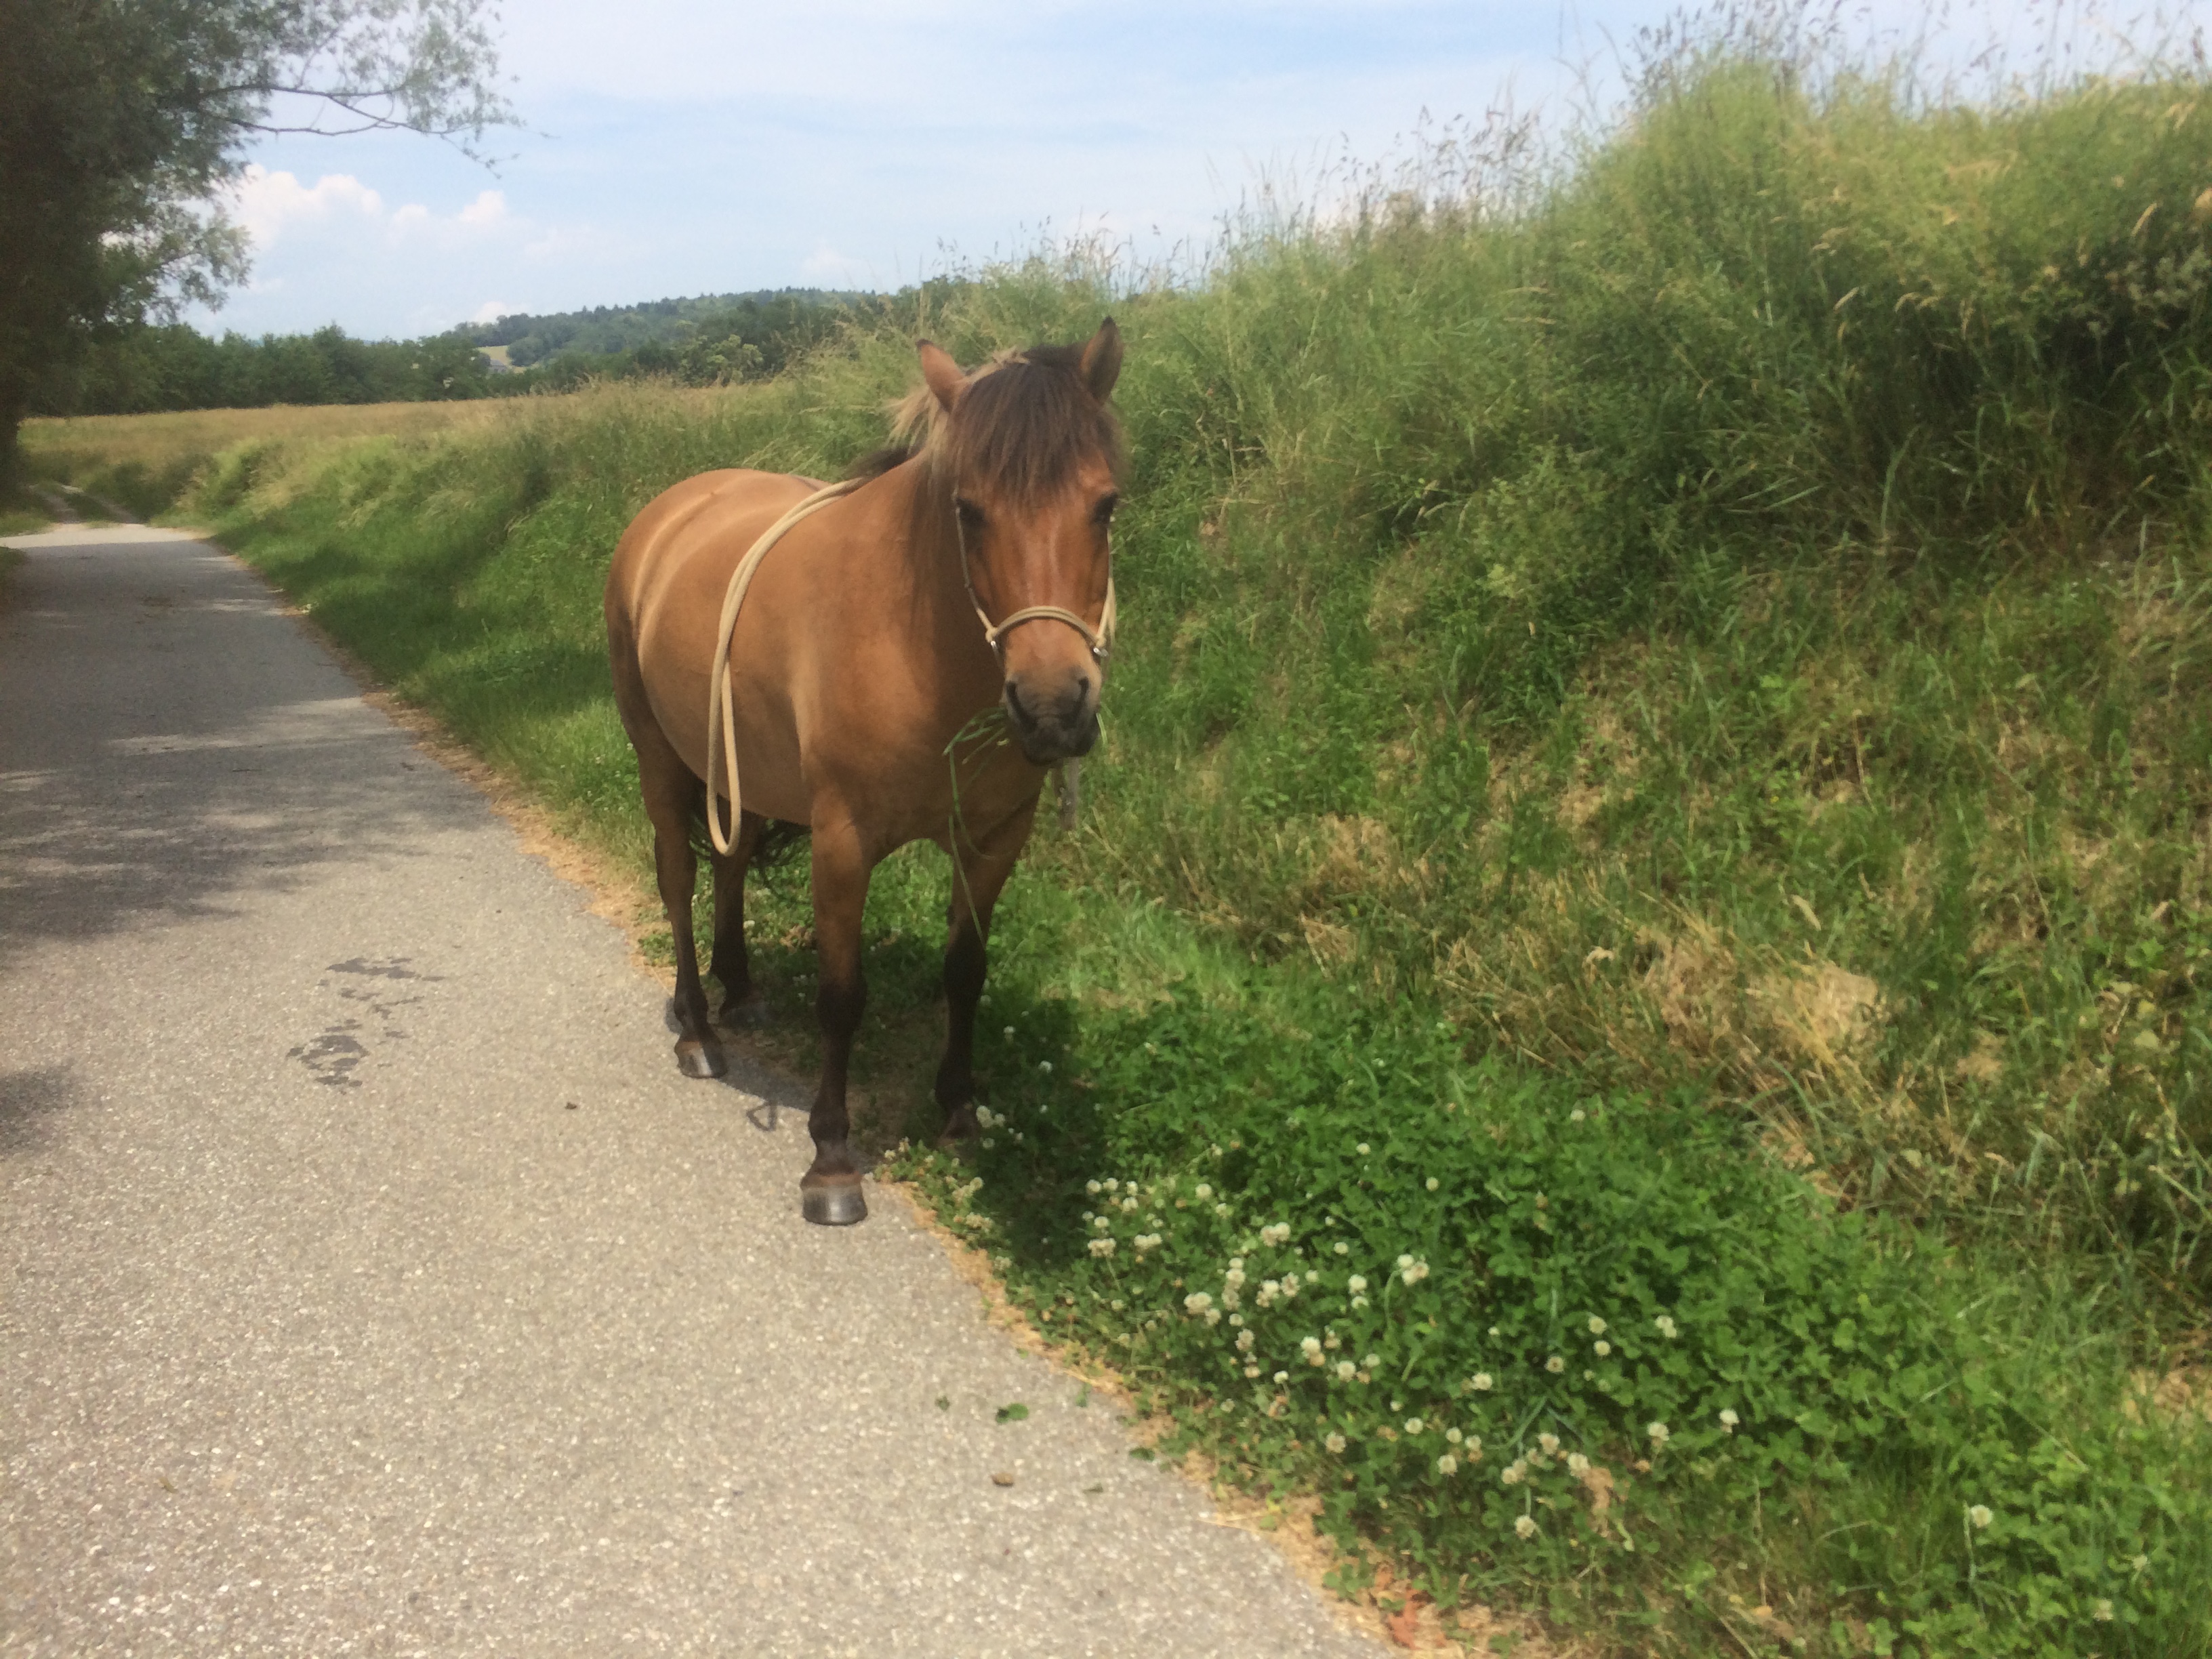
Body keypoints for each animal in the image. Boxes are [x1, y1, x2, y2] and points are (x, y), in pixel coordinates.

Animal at [603, 321, 1125, 1225]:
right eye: (969, 511)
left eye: (1106, 505)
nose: (1054, 706)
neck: (917, 643)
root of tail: (669, 513)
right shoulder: (842, 844)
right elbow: (842, 995)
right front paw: (832, 1158)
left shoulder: (993, 839)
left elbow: (966, 972)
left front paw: (959, 1111)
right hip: (660, 761)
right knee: (678, 877)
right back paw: (700, 1031)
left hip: (740, 769)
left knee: (731, 864)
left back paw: (741, 991)